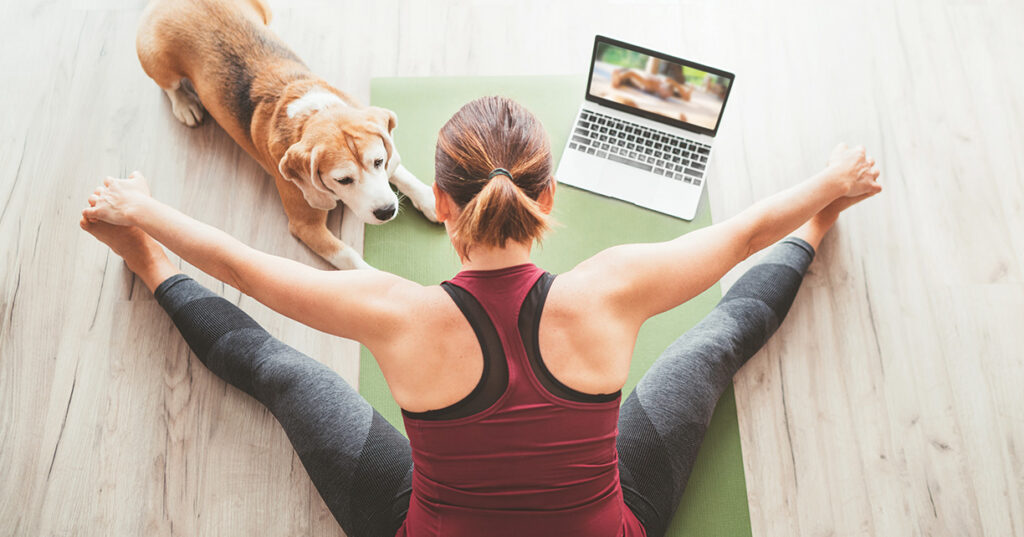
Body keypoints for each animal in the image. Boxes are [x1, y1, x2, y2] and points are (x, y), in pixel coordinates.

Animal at [134, 0, 434, 268]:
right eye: (343, 180)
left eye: (378, 162)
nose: (387, 211)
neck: (311, 113)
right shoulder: (306, 225)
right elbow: (350, 259)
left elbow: (401, 172)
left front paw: (430, 198)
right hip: (158, 61)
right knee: (169, 86)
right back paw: (185, 105)